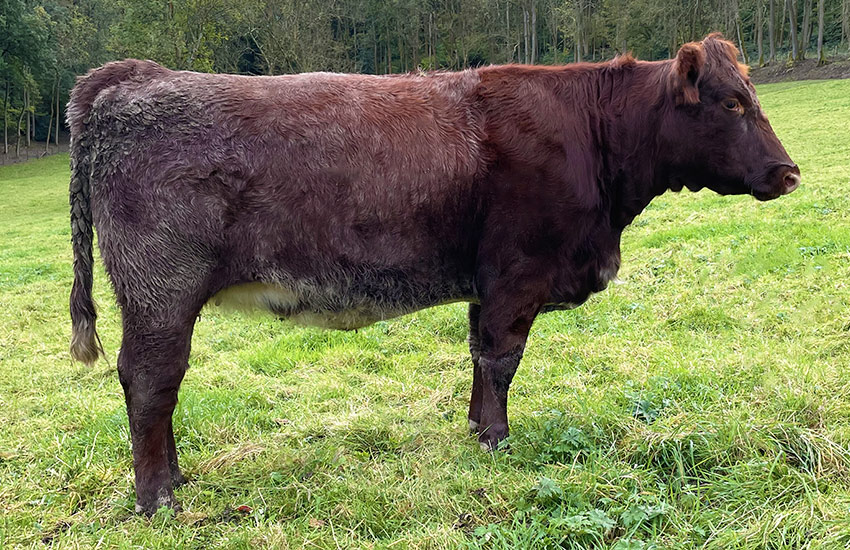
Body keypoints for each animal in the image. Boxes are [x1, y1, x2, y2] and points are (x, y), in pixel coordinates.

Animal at [66, 33, 796, 516]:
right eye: (731, 104)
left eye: (749, 97)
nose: (788, 172)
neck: (591, 134)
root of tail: (133, 78)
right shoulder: (516, 275)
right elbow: (502, 359)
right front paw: (497, 442)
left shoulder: (485, 284)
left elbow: (478, 357)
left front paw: (476, 430)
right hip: (162, 295)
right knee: (152, 384)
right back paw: (158, 497)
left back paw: (176, 481)